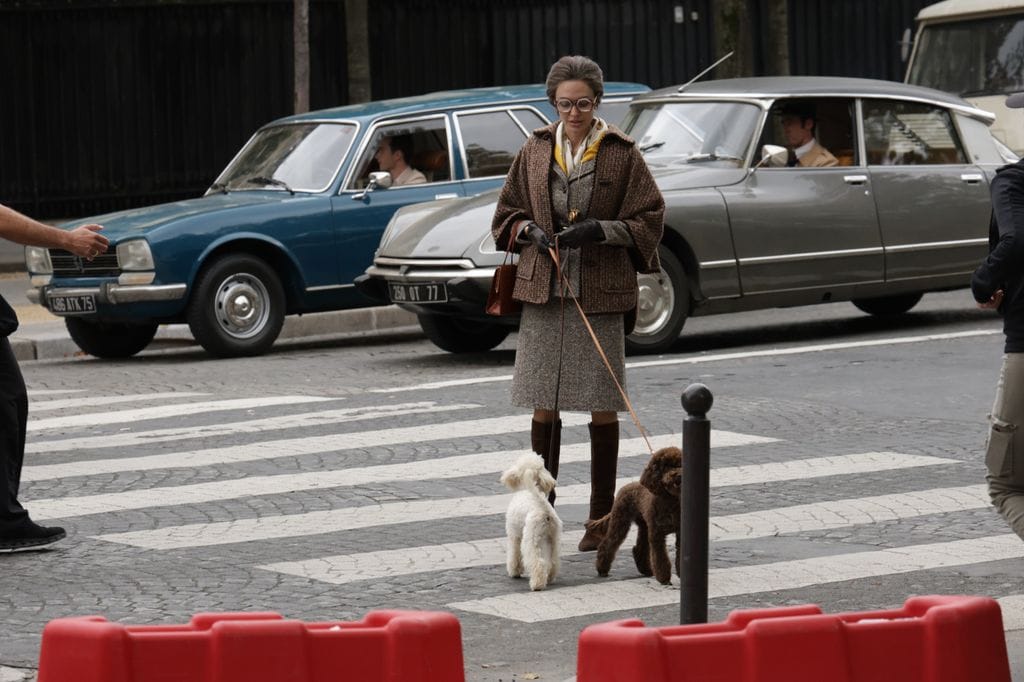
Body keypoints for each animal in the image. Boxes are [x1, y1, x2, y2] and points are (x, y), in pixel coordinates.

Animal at [499, 450, 565, 589]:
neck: (526, 489)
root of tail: (544, 509)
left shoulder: (514, 535)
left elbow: (514, 553)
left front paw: (514, 571)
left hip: (531, 538)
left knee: (538, 562)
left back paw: (537, 584)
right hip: (554, 538)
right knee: (553, 561)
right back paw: (549, 578)